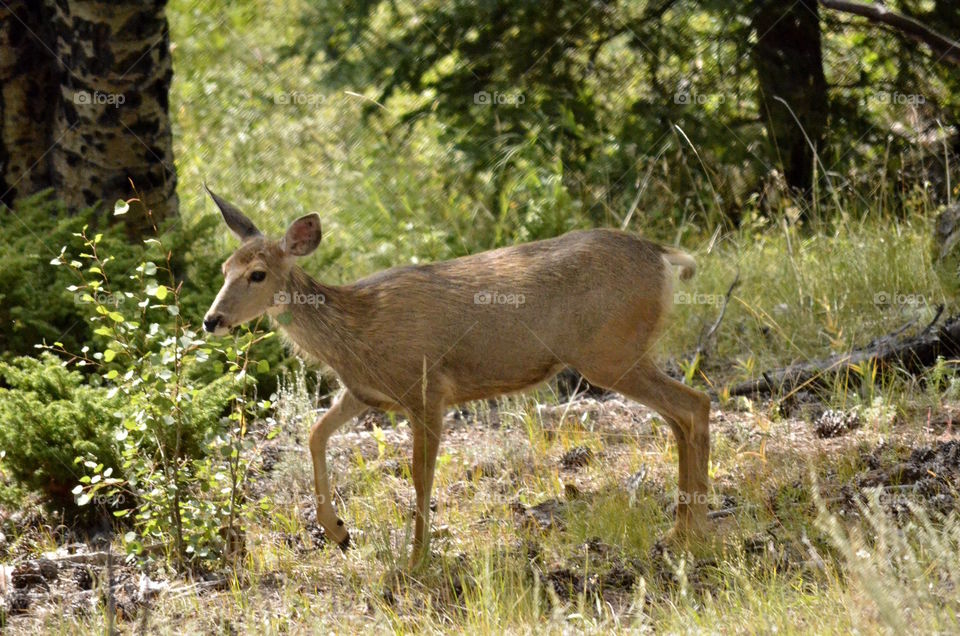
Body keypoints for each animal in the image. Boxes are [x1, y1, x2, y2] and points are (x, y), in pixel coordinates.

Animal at [201, 185, 711, 566]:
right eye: (224, 268)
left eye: (258, 274)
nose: (212, 320)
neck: (357, 329)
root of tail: (662, 255)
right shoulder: (366, 393)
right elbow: (315, 434)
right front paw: (340, 532)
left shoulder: (426, 390)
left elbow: (419, 476)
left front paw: (415, 560)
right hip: (622, 355)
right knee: (681, 415)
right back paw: (683, 528)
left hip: (609, 353)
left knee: (693, 405)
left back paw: (689, 532)